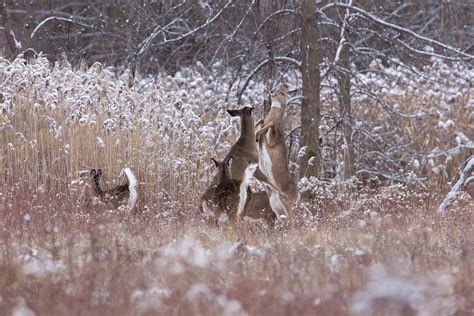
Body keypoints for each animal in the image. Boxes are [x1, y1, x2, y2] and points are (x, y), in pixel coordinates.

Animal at [256, 90, 300, 220]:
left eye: (282, 93)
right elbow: (261, 120)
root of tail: (298, 194)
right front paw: (257, 131)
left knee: (293, 218)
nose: (272, 91)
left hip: (286, 201)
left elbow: (271, 125)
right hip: (275, 205)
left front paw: (260, 131)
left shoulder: (273, 141)